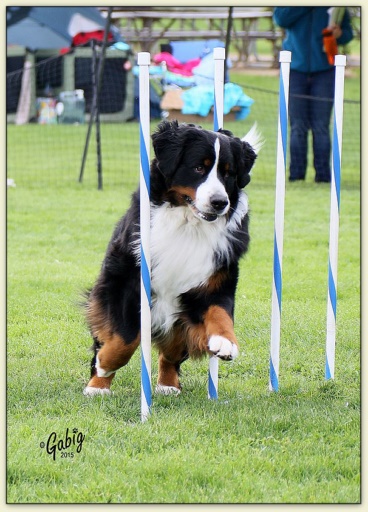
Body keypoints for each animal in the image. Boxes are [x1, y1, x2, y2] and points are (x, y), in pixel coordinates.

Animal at [83, 119, 262, 396]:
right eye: (199, 167)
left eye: (228, 173)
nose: (220, 202)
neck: (188, 224)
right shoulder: (125, 281)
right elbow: (124, 339)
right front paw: (105, 365)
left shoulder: (216, 279)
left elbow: (220, 312)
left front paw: (225, 342)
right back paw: (97, 385)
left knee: (171, 354)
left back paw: (168, 385)